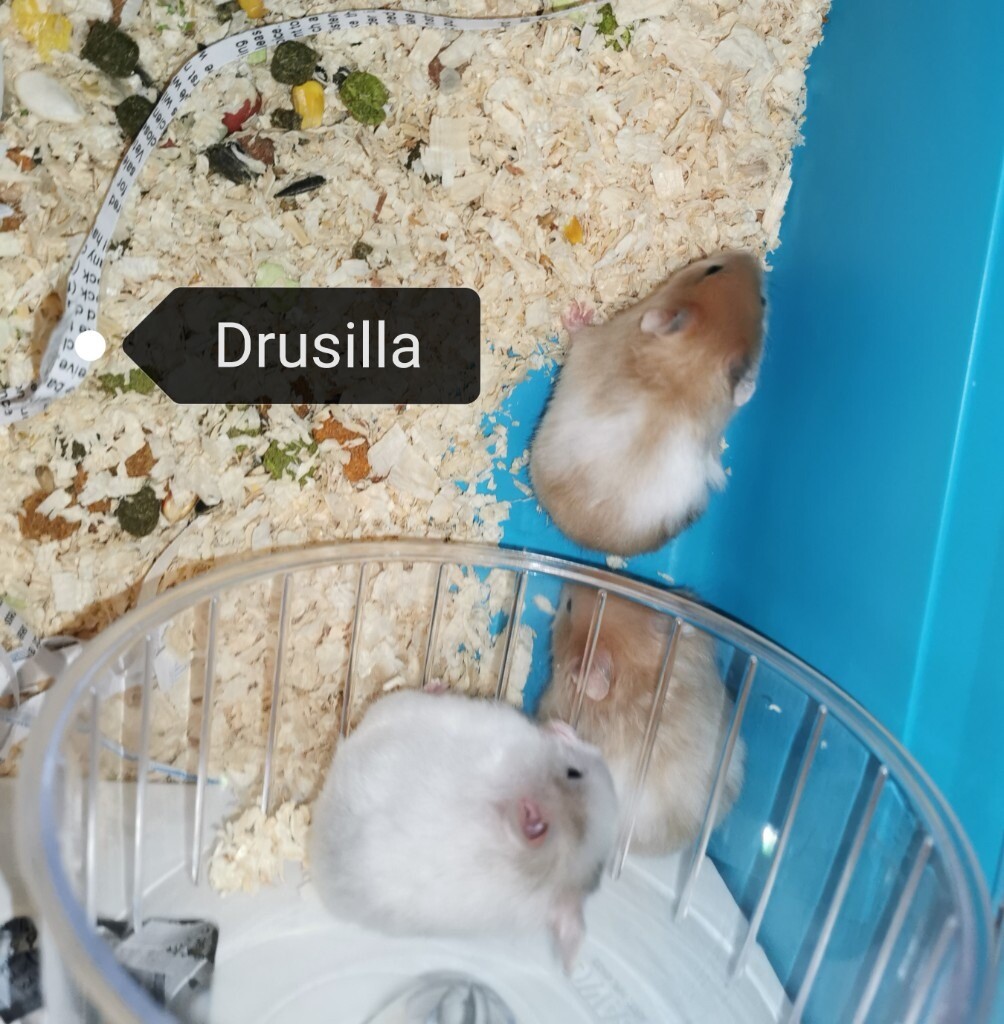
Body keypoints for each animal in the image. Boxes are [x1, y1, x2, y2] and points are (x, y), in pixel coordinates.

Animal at [529, 250, 766, 556]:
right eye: (712, 269)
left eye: (763, 300)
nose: (750, 257)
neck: (693, 362)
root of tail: (586, 540)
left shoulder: (594, 340)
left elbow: (580, 332)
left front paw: (576, 311)